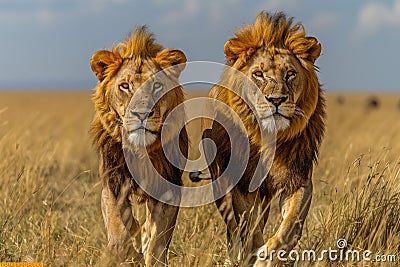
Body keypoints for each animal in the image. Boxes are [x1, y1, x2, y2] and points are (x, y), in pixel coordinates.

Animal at [90, 26, 188, 266]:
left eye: (157, 85)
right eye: (124, 86)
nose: (142, 114)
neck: (140, 152)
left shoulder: (168, 189)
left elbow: (157, 239)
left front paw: (151, 256)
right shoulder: (113, 184)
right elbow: (119, 227)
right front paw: (125, 253)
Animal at [190, 12, 324, 266]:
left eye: (290, 74)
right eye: (258, 74)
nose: (276, 100)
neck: (270, 138)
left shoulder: (298, 181)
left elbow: (288, 229)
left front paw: (268, 257)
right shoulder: (242, 186)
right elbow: (250, 231)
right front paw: (253, 254)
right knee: (233, 230)